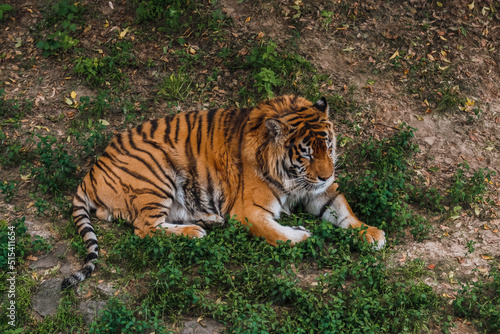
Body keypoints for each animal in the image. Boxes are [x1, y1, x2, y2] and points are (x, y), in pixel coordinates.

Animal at [60, 95, 384, 288]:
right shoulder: (250, 211)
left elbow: (344, 211)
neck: (295, 178)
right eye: (305, 154)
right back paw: (194, 232)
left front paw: (371, 233)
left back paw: (208, 220)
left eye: (327, 147)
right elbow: (278, 235)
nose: (327, 175)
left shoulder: (322, 193)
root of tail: (91, 172)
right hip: (157, 171)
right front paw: (303, 236)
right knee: (144, 228)